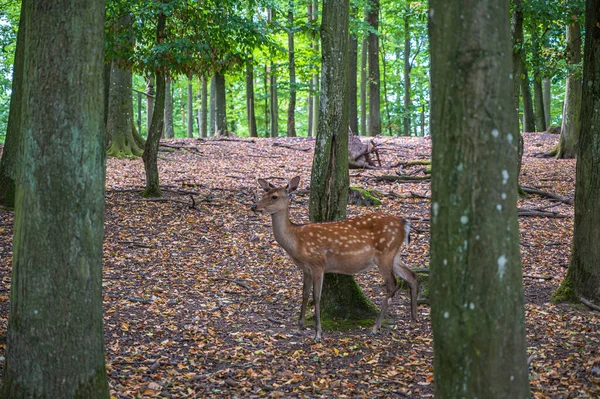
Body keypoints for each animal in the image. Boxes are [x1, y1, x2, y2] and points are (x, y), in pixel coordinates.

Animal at [252, 177, 418, 340]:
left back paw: (375, 327)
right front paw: (299, 328)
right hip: (394, 254)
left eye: (274, 196)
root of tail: (404, 223)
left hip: (385, 253)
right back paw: (413, 321)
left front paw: (318, 333)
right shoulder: (306, 268)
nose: (254, 206)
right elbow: (304, 295)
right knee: (412, 275)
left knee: (392, 284)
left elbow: (316, 297)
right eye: (264, 193)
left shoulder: (318, 263)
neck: (296, 241)